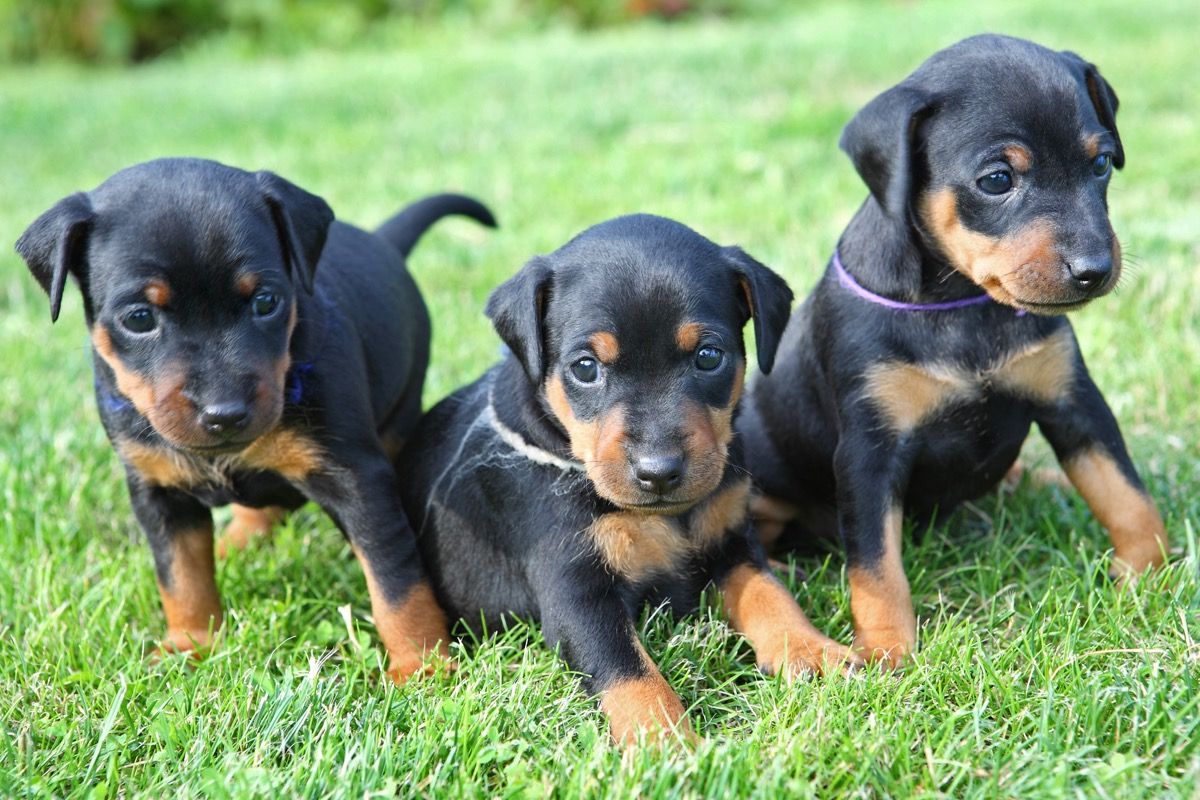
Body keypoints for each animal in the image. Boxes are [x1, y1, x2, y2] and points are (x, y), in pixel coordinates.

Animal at [15, 158, 492, 681]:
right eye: (139, 318)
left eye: (266, 302)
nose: (224, 413)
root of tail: (381, 239)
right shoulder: (156, 489)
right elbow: (181, 575)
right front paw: (189, 644)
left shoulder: (358, 478)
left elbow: (396, 582)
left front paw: (422, 666)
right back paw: (233, 545)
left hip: (401, 411)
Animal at [400, 212, 864, 743]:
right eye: (585, 367)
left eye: (709, 356)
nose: (658, 472)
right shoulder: (575, 590)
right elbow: (628, 671)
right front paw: (665, 741)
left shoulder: (730, 538)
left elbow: (770, 595)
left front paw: (813, 651)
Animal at [734, 34, 1166, 671]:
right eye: (996, 179)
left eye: (1102, 164)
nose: (1095, 270)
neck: (961, 304)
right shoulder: (869, 450)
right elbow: (876, 567)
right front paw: (887, 652)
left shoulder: (1074, 403)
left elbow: (1124, 492)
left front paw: (1150, 573)